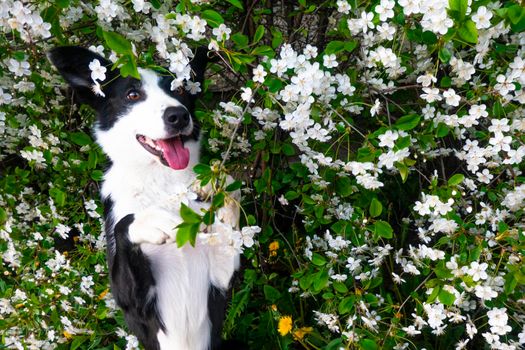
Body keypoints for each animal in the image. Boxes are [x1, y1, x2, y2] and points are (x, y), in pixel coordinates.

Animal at [48, 47, 241, 350]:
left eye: (181, 89)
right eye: (132, 94)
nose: (178, 115)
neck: (162, 182)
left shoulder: (220, 281)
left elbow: (228, 187)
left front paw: (217, 193)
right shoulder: (134, 302)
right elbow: (125, 223)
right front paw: (152, 221)